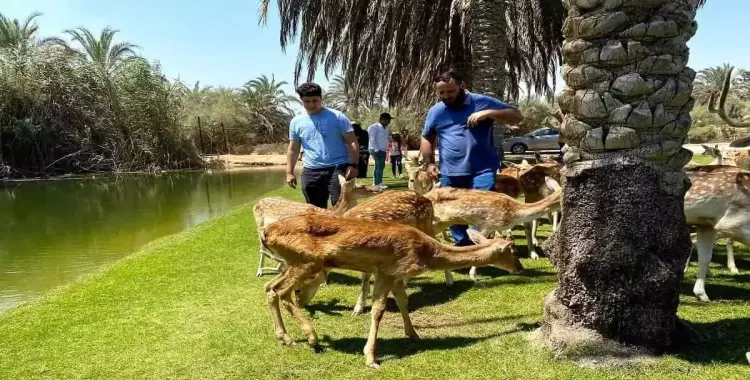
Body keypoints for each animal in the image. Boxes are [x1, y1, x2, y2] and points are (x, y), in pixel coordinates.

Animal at [254, 175, 382, 276]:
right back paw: (260, 271)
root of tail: (257, 202)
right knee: (261, 247)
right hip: (259, 225)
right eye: (360, 186)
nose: (379, 188)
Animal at [258, 214, 524, 368]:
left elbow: (404, 302)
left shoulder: (395, 276)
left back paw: (285, 338)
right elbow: (379, 310)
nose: (520, 267)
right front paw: (370, 358)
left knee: (269, 288)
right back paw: (311, 338)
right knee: (282, 292)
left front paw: (415, 335)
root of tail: (266, 233)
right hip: (306, 261)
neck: (429, 254)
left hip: (293, 262)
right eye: (512, 250)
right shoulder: (388, 271)